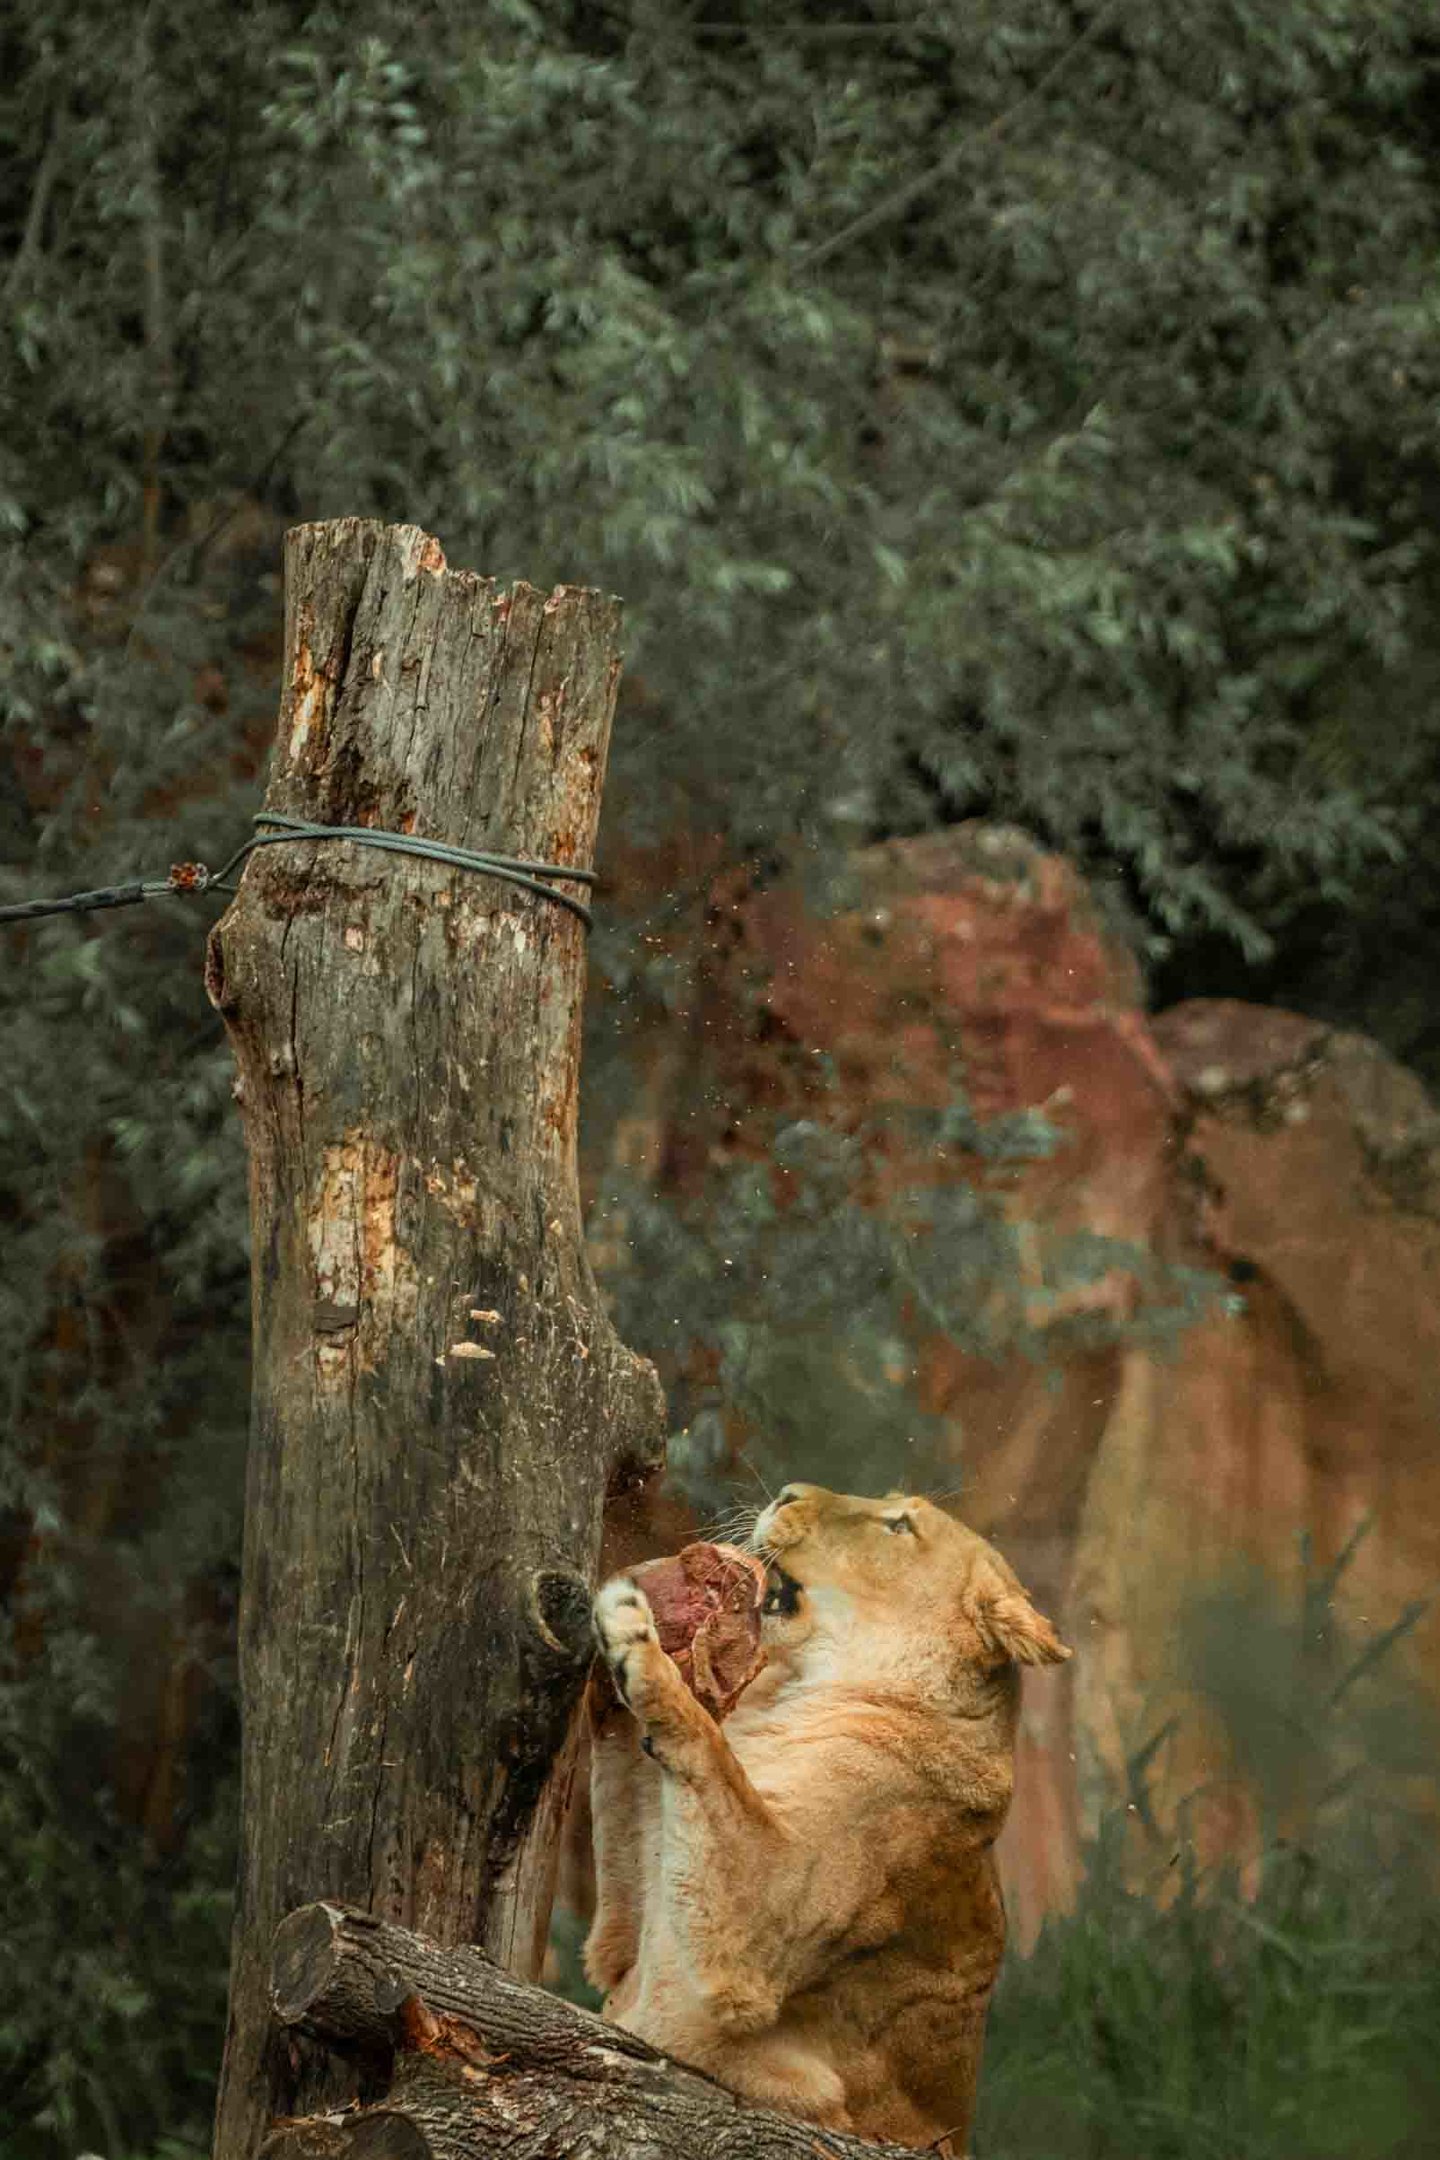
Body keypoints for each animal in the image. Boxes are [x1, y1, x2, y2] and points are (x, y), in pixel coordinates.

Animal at [585, 1481, 1070, 2151]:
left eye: (899, 1527)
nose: (788, 1492)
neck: (793, 1692)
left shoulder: (763, 1928)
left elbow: (709, 1751)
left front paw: (637, 1634)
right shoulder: (629, 1932)